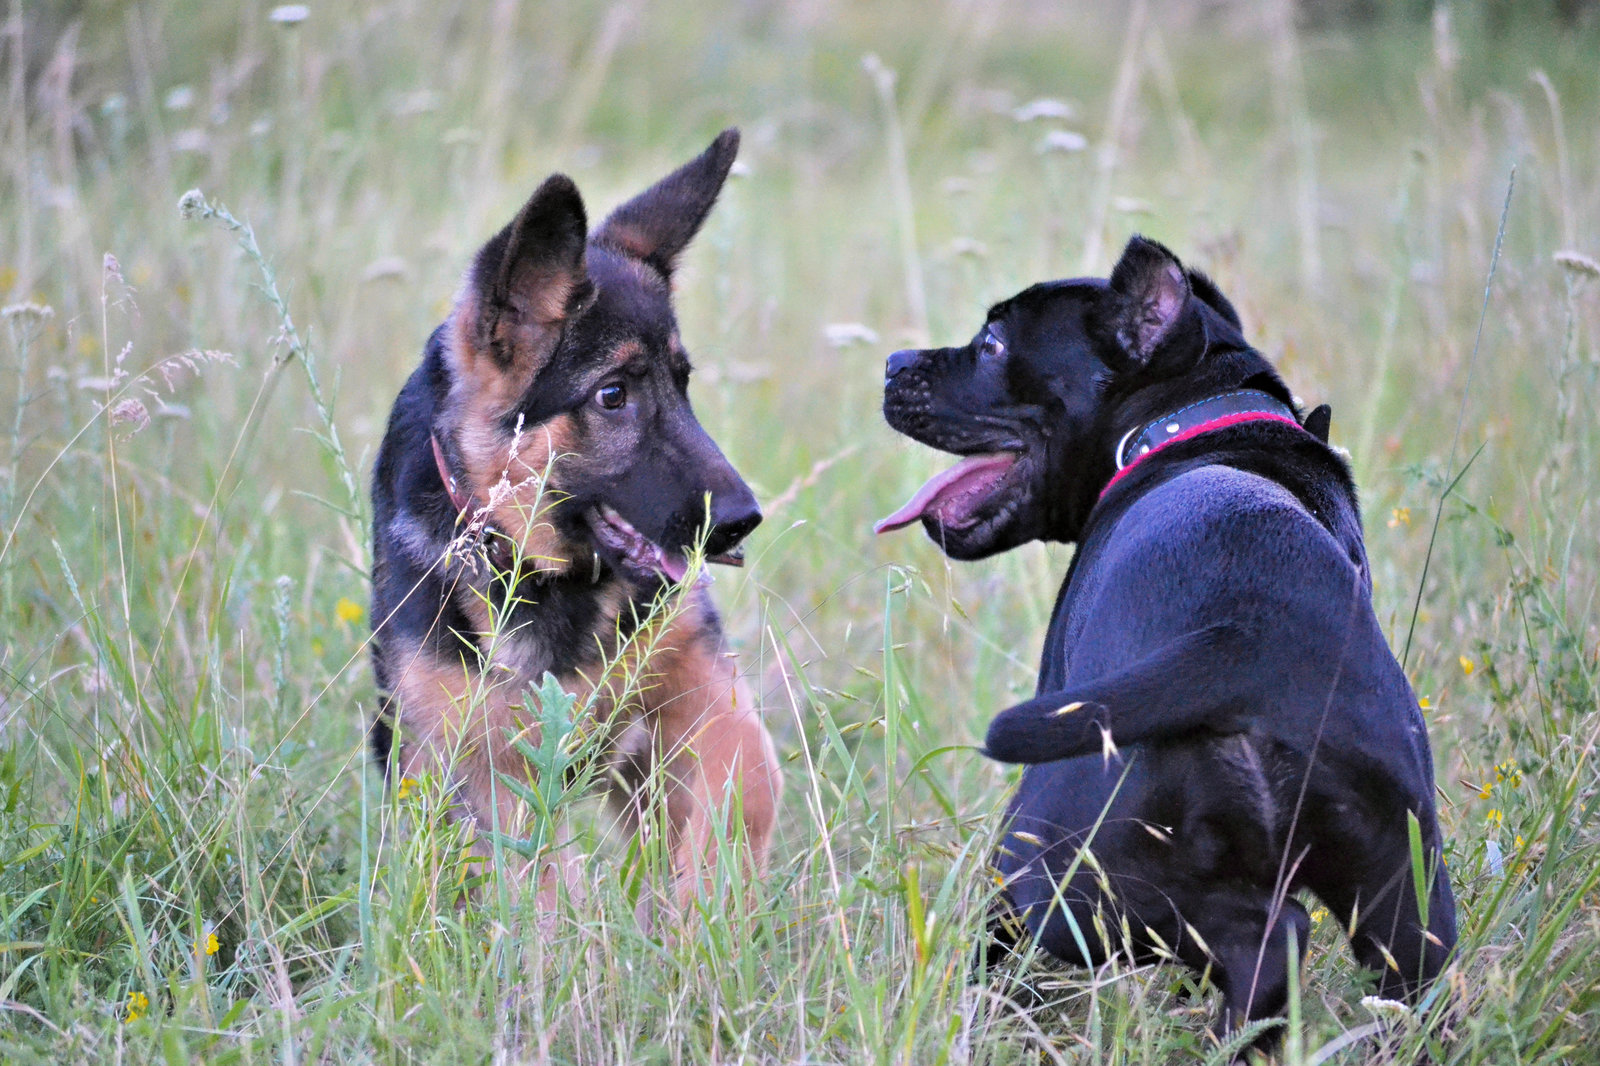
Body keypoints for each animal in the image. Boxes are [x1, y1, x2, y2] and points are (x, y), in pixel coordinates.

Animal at [369, 128, 780, 902]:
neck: (551, 579)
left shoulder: (711, 711)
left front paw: (699, 919)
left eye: (683, 385)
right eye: (613, 395)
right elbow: (538, 887)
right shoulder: (490, 772)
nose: (743, 521)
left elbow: (732, 813)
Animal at [883, 232, 1459, 1043]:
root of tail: (1244, 642)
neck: (1193, 419)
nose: (892, 363)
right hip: (1405, 895)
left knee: (1264, 937)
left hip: (1053, 865)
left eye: (993, 343)